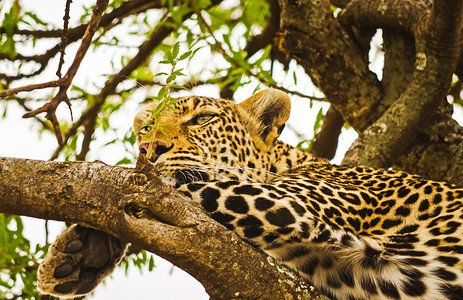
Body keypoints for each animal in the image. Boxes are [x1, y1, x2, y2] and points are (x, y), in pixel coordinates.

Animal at [38, 88, 463, 298]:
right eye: (146, 128)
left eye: (202, 119)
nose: (148, 148)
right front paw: (80, 253)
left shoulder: (288, 204)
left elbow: (172, 185)